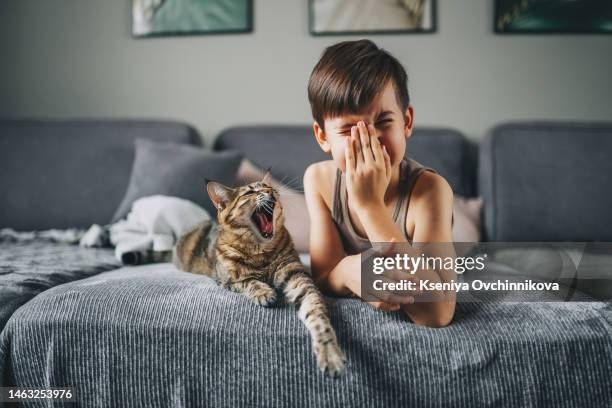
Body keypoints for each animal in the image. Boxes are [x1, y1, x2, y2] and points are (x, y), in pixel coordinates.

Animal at [172, 171, 346, 376]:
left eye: (266, 186)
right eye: (250, 192)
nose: (271, 190)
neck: (261, 252)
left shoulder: (295, 274)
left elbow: (315, 311)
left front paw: (329, 350)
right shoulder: (227, 279)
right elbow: (250, 281)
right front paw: (264, 292)